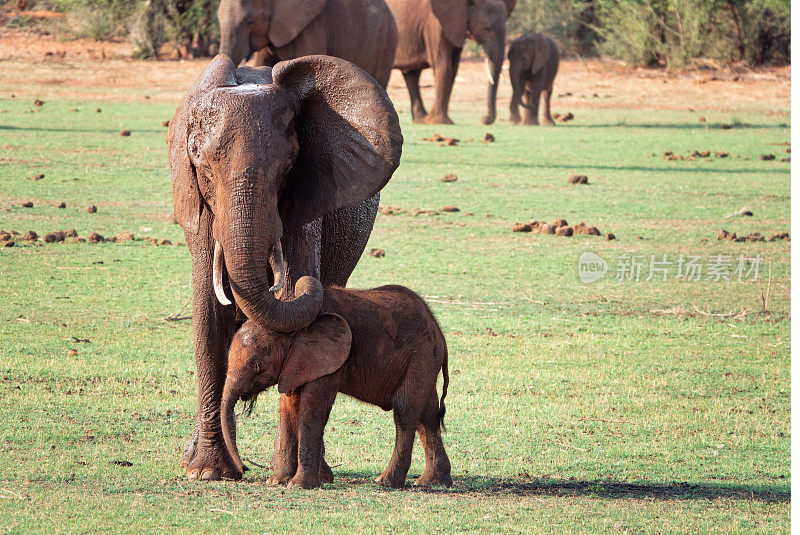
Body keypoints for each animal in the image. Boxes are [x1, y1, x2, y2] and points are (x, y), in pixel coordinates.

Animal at [170, 54, 406, 482]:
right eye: (201, 163)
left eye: (288, 166)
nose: (242, 467)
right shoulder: (198, 211)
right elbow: (209, 317)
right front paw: (208, 472)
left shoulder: (306, 203)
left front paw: (280, 476)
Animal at [222, 284, 454, 490]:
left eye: (257, 365)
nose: (244, 469)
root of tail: (440, 333)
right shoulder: (296, 362)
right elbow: (288, 409)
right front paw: (277, 481)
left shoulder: (328, 358)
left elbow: (312, 411)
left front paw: (299, 485)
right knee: (427, 415)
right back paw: (433, 482)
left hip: (422, 354)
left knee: (405, 409)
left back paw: (387, 482)